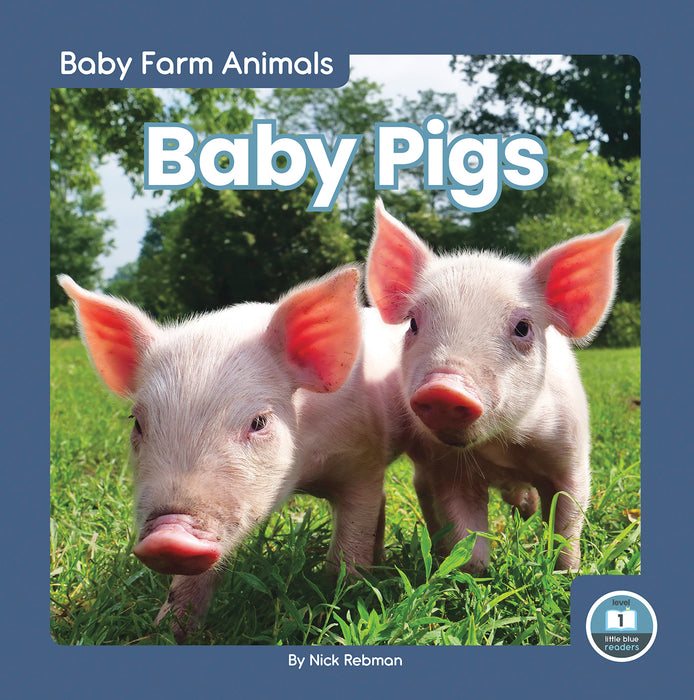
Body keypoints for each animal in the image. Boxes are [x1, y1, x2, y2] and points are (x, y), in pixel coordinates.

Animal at [58, 266, 409, 639]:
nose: (168, 536)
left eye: (258, 422)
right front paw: (167, 630)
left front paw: (347, 603)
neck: (303, 475)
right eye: (137, 423)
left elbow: (350, 545)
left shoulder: (363, 462)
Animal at [366, 200, 627, 573]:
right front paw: (474, 573)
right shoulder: (446, 468)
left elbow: (567, 522)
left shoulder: (571, 455)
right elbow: (467, 540)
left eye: (522, 327)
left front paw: (566, 572)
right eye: (413, 323)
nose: (444, 388)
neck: (503, 449)